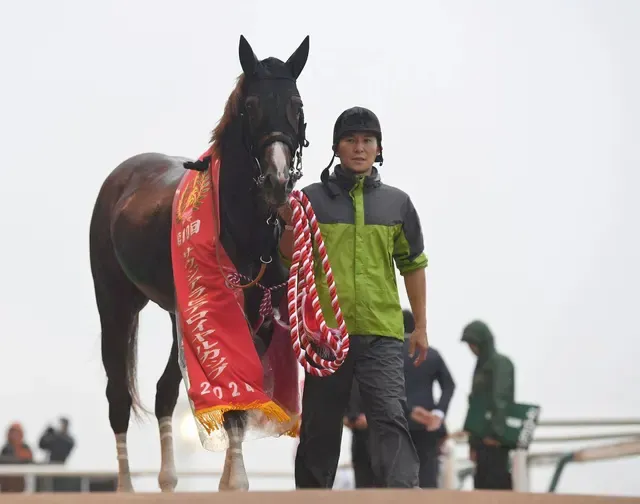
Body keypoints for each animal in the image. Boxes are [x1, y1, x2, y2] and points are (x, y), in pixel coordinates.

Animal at [89, 34, 312, 492]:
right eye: (251, 106)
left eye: (297, 105)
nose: (278, 181)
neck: (246, 228)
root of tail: (123, 175)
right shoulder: (222, 313)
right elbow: (235, 405)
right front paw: (236, 483)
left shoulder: (258, 316)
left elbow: (240, 401)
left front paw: (228, 482)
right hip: (115, 302)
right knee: (118, 395)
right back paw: (126, 486)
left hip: (182, 312)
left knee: (163, 392)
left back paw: (169, 480)